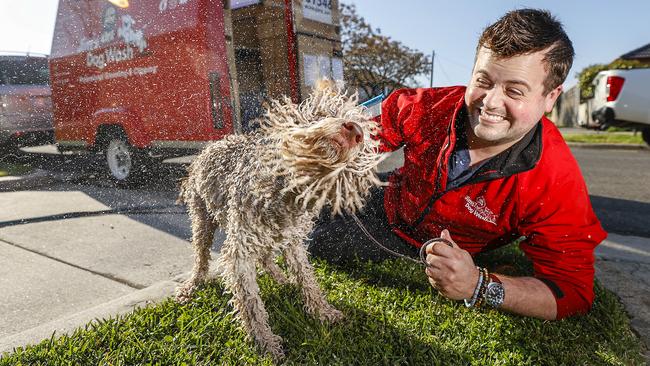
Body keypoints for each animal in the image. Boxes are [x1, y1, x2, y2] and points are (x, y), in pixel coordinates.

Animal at [173, 81, 384, 358]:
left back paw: (281, 278)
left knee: (265, 256)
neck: (288, 190)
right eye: (321, 115)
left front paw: (323, 312)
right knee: (201, 257)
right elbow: (251, 304)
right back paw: (191, 285)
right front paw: (265, 342)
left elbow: (306, 279)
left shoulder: (293, 241)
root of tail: (212, 146)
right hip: (202, 218)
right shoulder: (240, 251)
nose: (356, 131)